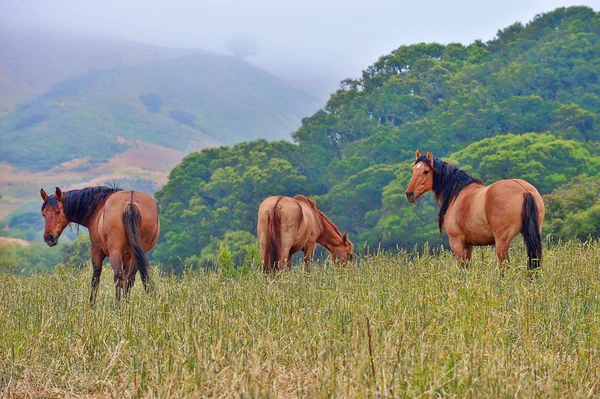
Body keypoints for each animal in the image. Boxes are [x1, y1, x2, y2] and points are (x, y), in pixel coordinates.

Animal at [406, 151, 548, 272]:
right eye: (413, 170)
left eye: (426, 171)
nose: (409, 194)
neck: (456, 194)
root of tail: (524, 190)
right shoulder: (468, 245)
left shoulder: (456, 242)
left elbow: (462, 269)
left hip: (502, 241)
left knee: (503, 266)